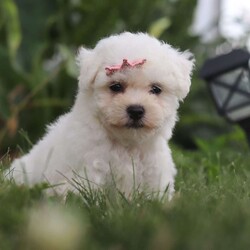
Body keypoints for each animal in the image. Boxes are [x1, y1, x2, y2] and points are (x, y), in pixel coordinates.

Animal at [7, 32, 193, 197]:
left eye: (156, 89)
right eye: (116, 86)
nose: (136, 110)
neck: (126, 145)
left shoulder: (155, 173)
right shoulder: (89, 170)